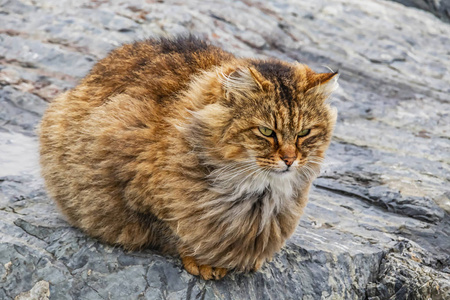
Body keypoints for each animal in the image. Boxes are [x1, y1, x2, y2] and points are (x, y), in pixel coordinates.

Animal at [39, 35, 338, 282]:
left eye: (304, 133)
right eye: (266, 131)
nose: (290, 159)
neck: (257, 196)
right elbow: (173, 230)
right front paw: (204, 261)